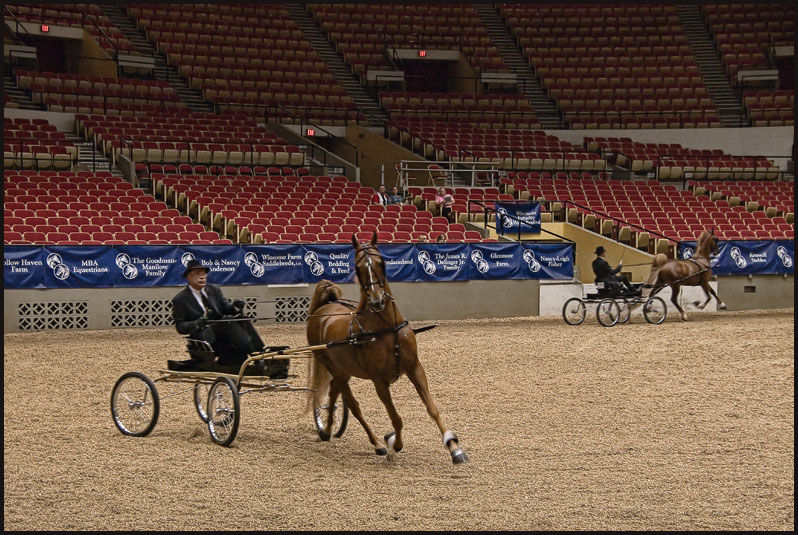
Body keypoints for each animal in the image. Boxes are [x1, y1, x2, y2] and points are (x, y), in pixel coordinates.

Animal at [306, 232, 468, 462]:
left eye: (381, 263)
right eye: (357, 268)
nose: (377, 301)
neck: (388, 329)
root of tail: (324, 308)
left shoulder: (415, 367)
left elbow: (432, 408)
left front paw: (453, 446)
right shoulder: (379, 380)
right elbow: (396, 418)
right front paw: (394, 444)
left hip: (342, 370)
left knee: (334, 393)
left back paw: (327, 430)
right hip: (332, 367)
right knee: (353, 406)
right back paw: (376, 444)